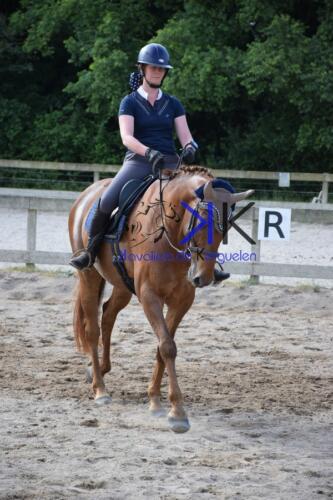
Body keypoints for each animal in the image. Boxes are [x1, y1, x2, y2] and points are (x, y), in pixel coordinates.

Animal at [68, 166, 253, 432]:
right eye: (202, 220)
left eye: (226, 226)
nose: (204, 277)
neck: (168, 232)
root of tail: (86, 194)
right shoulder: (149, 296)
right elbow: (167, 346)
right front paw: (177, 413)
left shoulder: (182, 300)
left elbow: (162, 347)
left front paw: (155, 400)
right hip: (88, 275)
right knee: (93, 328)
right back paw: (100, 389)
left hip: (122, 286)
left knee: (108, 315)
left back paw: (99, 369)